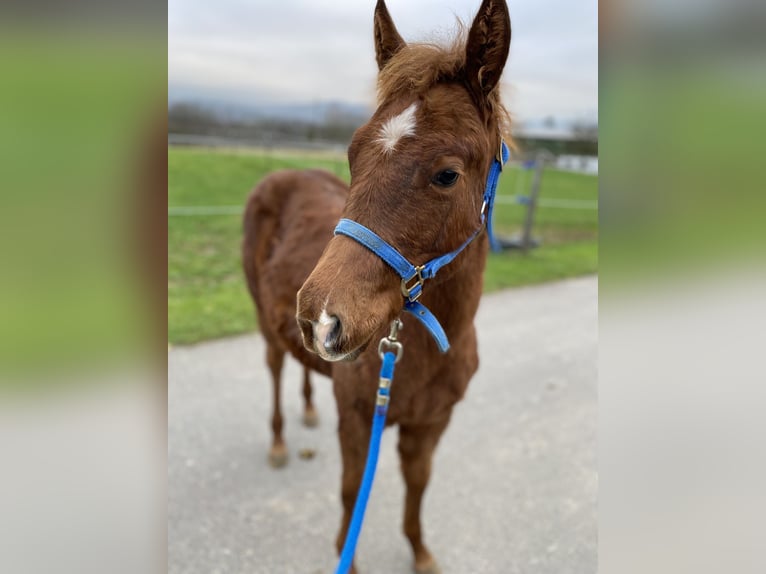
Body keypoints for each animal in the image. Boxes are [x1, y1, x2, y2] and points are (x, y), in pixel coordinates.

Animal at [243, 0, 512, 572]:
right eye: (353, 153)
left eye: (447, 174)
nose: (320, 317)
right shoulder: (359, 420)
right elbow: (351, 493)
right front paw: (348, 556)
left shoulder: (431, 424)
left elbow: (419, 483)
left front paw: (420, 551)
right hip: (266, 322)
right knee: (275, 366)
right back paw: (278, 441)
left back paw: (307, 407)